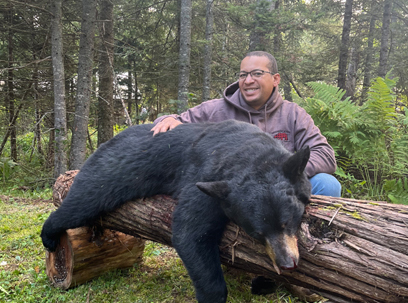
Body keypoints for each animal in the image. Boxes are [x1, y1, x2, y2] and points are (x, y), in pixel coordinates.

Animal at [40, 120, 310, 303]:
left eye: (288, 222)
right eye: (257, 233)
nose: (288, 263)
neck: (249, 151)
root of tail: (110, 139)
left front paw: (265, 281)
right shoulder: (205, 179)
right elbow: (190, 232)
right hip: (112, 171)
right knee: (83, 200)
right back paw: (49, 235)